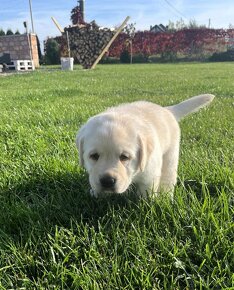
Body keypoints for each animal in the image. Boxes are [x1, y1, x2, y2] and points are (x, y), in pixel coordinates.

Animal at [76, 94, 214, 197]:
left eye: (124, 157)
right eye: (94, 156)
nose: (107, 181)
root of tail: (167, 109)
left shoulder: (150, 175)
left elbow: (146, 194)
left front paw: (146, 207)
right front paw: (97, 194)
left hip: (171, 154)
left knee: (169, 176)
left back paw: (166, 197)